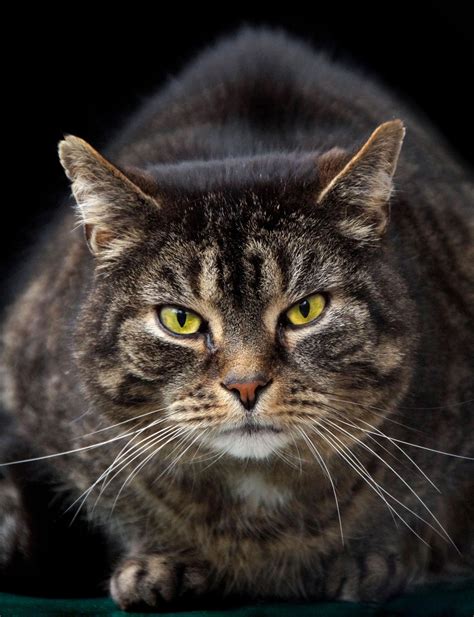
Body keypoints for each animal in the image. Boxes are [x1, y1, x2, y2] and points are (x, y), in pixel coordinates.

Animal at [0, 27, 474, 608]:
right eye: (180, 320)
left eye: (306, 310)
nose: (246, 385)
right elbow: (120, 504)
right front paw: (160, 562)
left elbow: (416, 507)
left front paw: (369, 561)